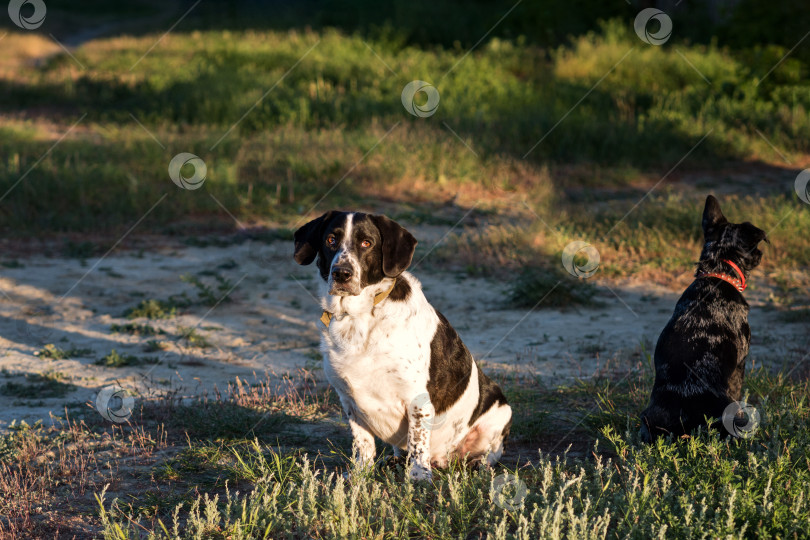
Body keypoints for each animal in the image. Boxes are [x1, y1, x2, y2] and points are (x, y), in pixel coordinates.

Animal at [292, 211, 512, 480]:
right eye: (331, 240)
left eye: (366, 243)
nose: (341, 273)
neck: (361, 316)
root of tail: (445, 460)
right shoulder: (349, 400)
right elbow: (363, 443)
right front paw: (359, 474)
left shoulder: (417, 399)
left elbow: (417, 440)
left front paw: (418, 476)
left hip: (501, 412)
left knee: (487, 455)